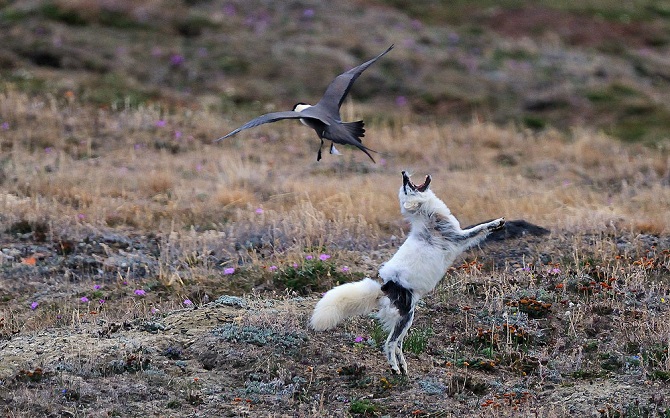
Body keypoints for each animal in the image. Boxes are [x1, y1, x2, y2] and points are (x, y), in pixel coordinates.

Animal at [312, 171, 506, 374]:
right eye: (406, 188)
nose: (404, 174)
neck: (426, 214)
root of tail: (384, 288)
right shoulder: (459, 237)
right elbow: (480, 228)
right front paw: (496, 223)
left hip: (407, 318)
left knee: (398, 344)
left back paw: (403, 367)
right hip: (406, 316)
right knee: (390, 343)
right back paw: (394, 368)